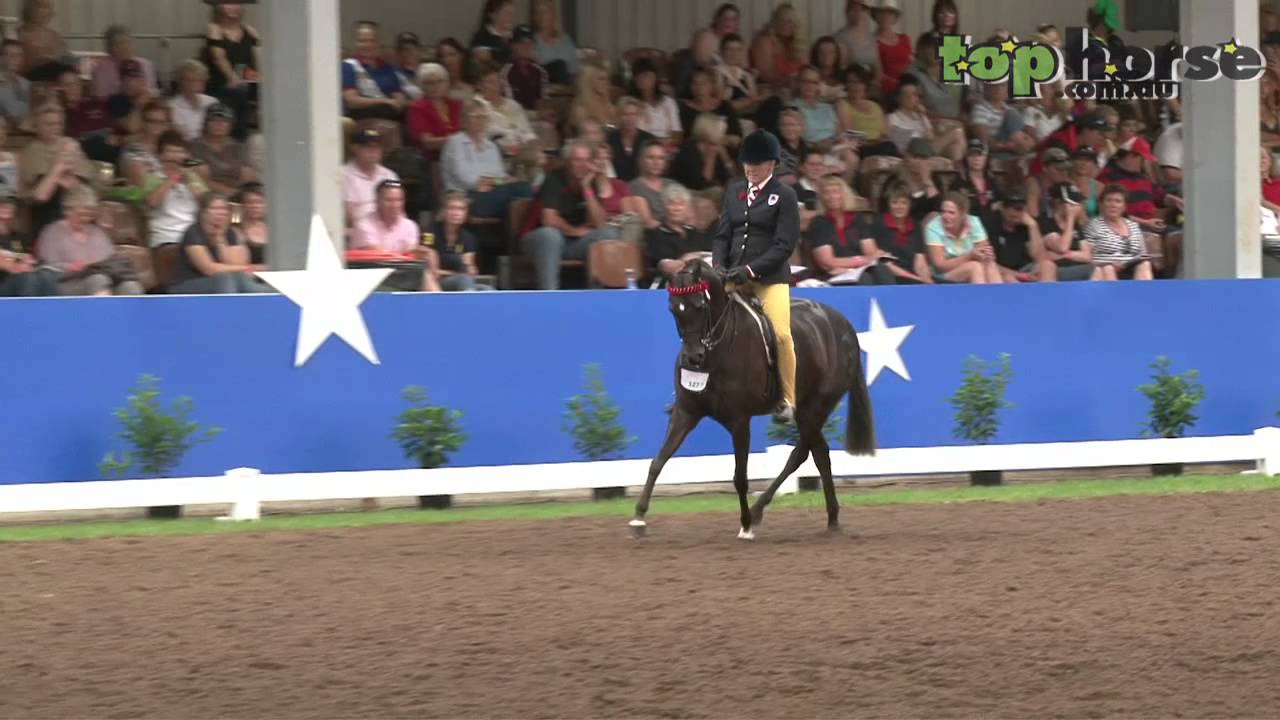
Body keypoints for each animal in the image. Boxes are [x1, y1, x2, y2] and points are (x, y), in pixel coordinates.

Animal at [630, 259, 876, 540]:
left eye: (699, 305)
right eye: (673, 308)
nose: (692, 358)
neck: (717, 349)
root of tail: (844, 325)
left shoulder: (739, 420)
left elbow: (740, 476)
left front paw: (746, 525)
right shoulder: (686, 412)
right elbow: (658, 461)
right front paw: (638, 519)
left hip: (816, 406)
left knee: (802, 453)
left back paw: (759, 513)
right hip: (808, 410)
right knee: (818, 453)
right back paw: (831, 518)